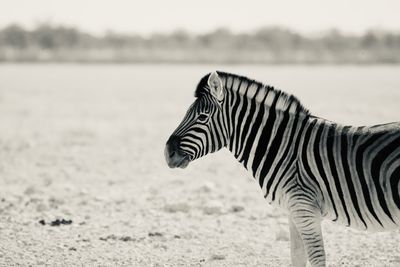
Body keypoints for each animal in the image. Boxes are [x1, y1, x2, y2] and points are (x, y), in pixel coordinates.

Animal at [163, 71, 400, 267]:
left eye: (202, 117)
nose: (167, 153)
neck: (284, 147)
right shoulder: (294, 211)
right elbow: (297, 258)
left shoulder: (305, 209)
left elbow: (316, 259)